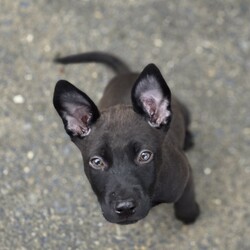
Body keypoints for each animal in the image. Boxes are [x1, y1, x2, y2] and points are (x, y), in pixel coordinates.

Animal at [52, 51, 199, 226]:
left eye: (144, 156)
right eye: (97, 162)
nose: (125, 208)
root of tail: (125, 74)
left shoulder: (185, 177)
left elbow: (186, 201)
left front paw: (189, 216)